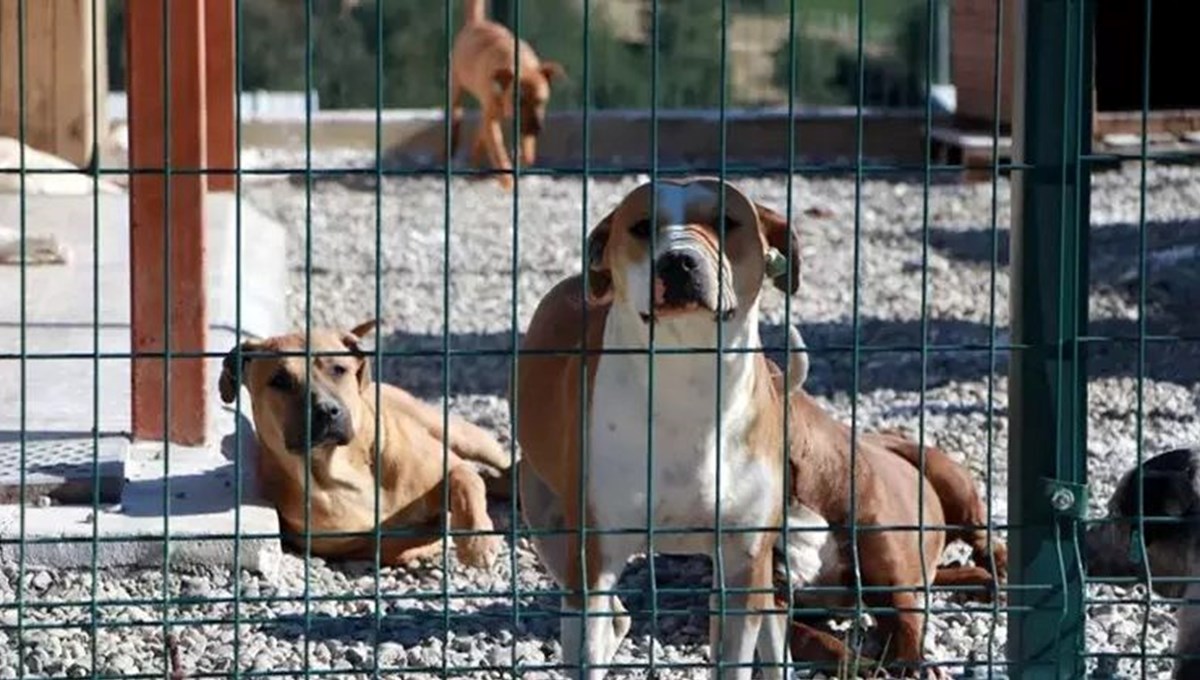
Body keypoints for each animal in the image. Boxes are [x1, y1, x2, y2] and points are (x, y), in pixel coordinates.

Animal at [448, 0, 564, 189]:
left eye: (541, 101)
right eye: (519, 102)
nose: (536, 129)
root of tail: (476, 23)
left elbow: (526, 150)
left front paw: (524, 157)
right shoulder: (493, 122)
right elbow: (498, 150)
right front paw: (506, 178)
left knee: (479, 134)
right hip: (457, 89)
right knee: (458, 115)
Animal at [513, 178, 1003, 676]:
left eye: (727, 221)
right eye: (640, 226)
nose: (679, 259)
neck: (685, 381)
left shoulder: (744, 564)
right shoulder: (596, 557)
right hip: (550, 527)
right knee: (610, 616)